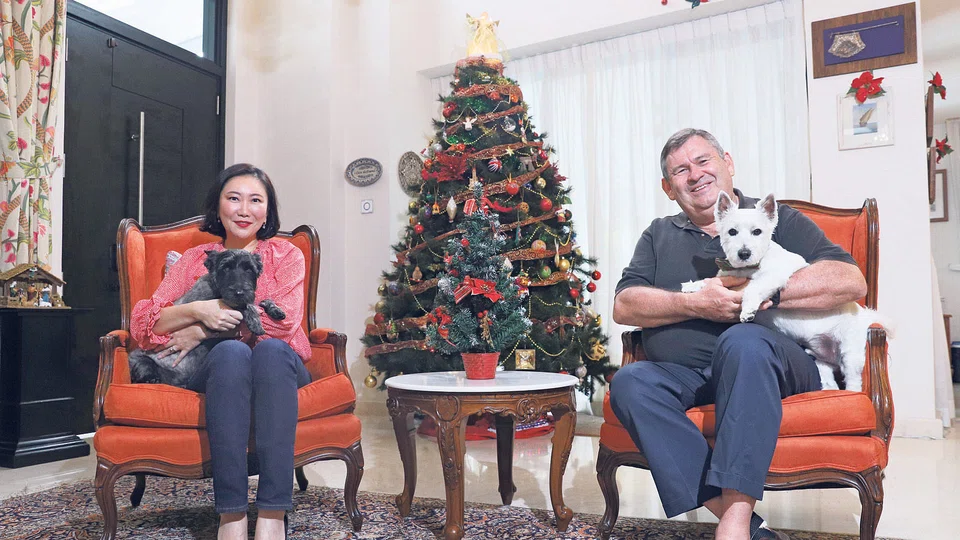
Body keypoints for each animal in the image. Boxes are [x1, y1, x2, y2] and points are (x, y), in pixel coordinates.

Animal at [128, 249, 286, 387]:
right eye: (225, 268)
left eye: (249, 269)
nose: (239, 292)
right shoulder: (214, 306)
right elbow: (244, 306)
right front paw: (255, 321)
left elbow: (259, 301)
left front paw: (275, 309)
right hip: (140, 360)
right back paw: (150, 379)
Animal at [681, 191, 890, 391]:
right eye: (732, 231)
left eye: (757, 231)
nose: (744, 253)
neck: (746, 268)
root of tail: (865, 315)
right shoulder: (726, 276)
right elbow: (710, 281)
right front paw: (692, 287)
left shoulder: (775, 275)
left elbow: (754, 287)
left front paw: (748, 310)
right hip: (821, 361)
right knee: (829, 378)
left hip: (850, 353)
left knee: (854, 382)